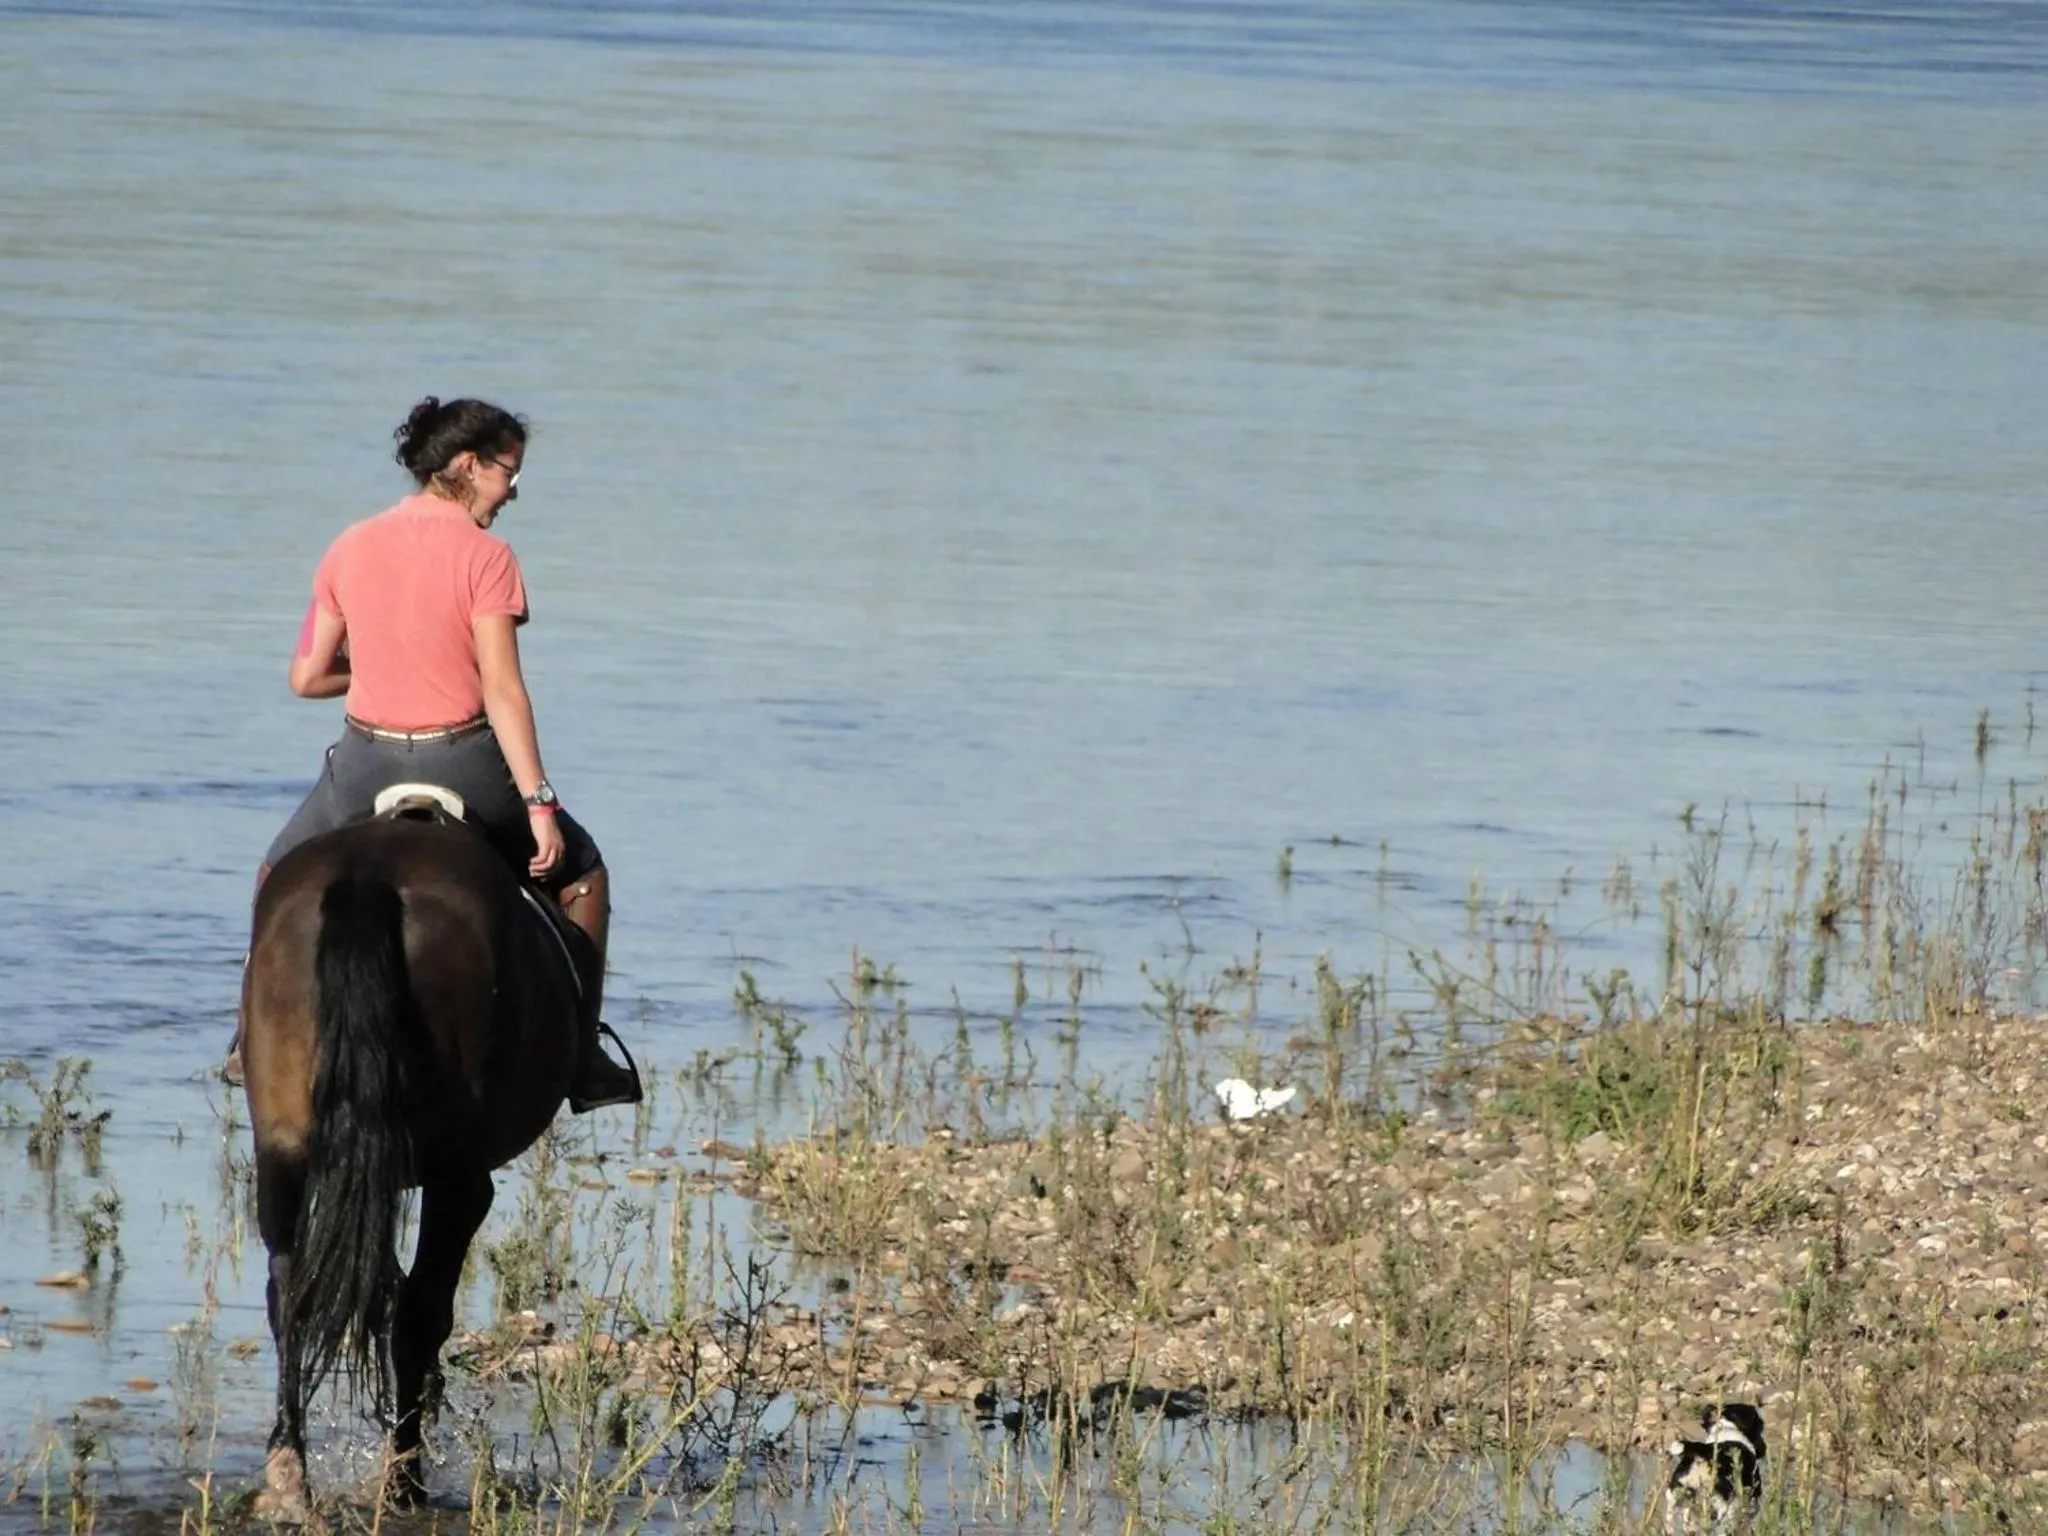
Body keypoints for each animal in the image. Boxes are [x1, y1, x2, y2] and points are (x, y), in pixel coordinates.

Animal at [240, 799, 586, 1519]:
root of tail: (368, 877)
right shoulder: (459, 1181)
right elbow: (417, 1307)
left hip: (281, 1150)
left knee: (290, 1291)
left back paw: (290, 1475)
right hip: (456, 1178)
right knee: (418, 1314)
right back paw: (404, 1481)